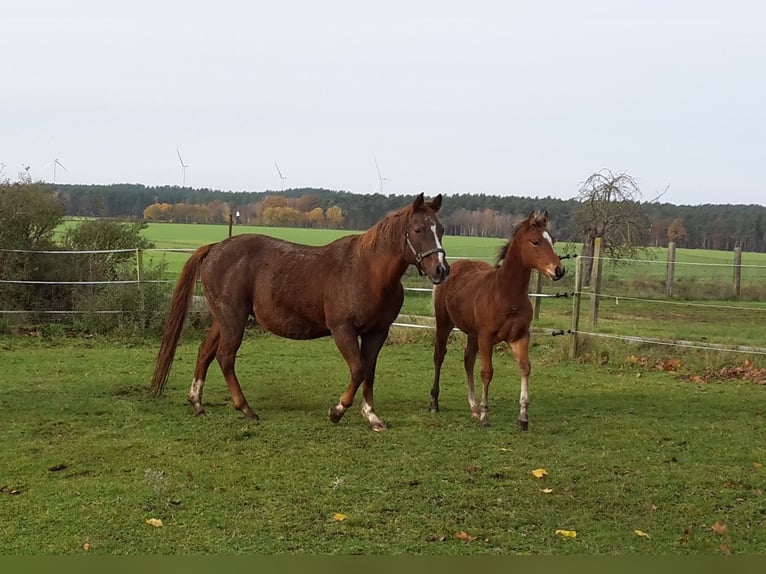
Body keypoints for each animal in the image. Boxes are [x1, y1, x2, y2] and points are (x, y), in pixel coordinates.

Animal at [150, 194, 450, 432]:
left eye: (441, 229)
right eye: (418, 229)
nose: (441, 270)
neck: (367, 271)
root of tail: (215, 248)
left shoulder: (377, 332)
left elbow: (369, 372)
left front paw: (372, 416)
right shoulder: (343, 330)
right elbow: (357, 369)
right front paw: (336, 411)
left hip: (223, 319)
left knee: (205, 353)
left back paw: (197, 404)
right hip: (233, 319)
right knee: (225, 357)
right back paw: (246, 409)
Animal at [428, 213, 568, 432]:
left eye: (553, 241)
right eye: (535, 242)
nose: (559, 270)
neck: (505, 294)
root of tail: (452, 268)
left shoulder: (520, 336)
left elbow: (525, 368)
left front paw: (523, 418)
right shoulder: (486, 337)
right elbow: (487, 372)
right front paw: (486, 416)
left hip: (473, 334)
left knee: (468, 359)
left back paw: (473, 407)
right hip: (444, 324)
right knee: (439, 356)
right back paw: (435, 403)